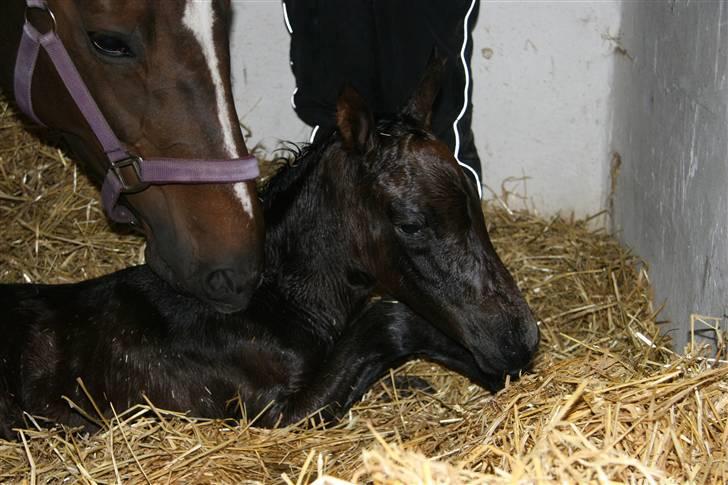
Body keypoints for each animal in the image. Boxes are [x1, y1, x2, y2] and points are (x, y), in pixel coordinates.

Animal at [0, 74, 536, 438]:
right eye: (410, 223)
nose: (520, 339)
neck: (274, 302)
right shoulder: (274, 414)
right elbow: (391, 321)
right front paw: (484, 366)